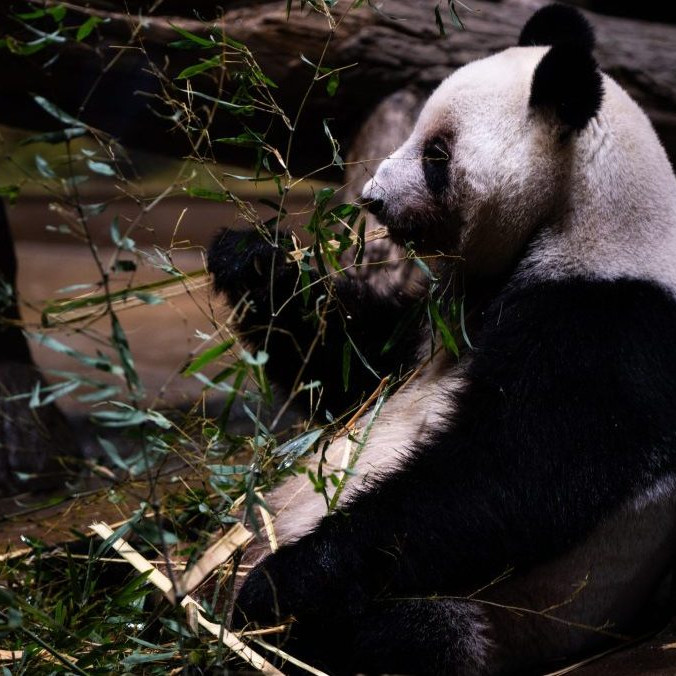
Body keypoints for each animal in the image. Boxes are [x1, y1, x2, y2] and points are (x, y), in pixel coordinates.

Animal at [207, 4, 676, 674]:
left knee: (409, 634)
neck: (586, 213)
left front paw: (282, 581)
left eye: (435, 154)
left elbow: (510, 477)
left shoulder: (610, 320)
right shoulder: (444, 313)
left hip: (500, 619)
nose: (373, 199)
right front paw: (255, 262)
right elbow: (357, 371)